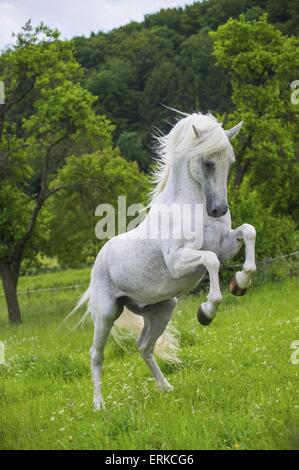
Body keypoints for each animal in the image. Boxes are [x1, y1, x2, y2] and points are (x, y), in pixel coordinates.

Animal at [71, 112, 256, 410]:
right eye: (207, 162)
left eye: (231, 161)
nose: (218, 210)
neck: (191, 207)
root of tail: (99, 259)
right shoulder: (179, 262)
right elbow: (211, 262)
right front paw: (207, 312)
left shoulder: (226, 246)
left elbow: (248, 232)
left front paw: (239, 283)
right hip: (106, 314)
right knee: (95, 355)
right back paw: (99, 405)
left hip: (162, 309)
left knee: (144, 347)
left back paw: (166, 387)